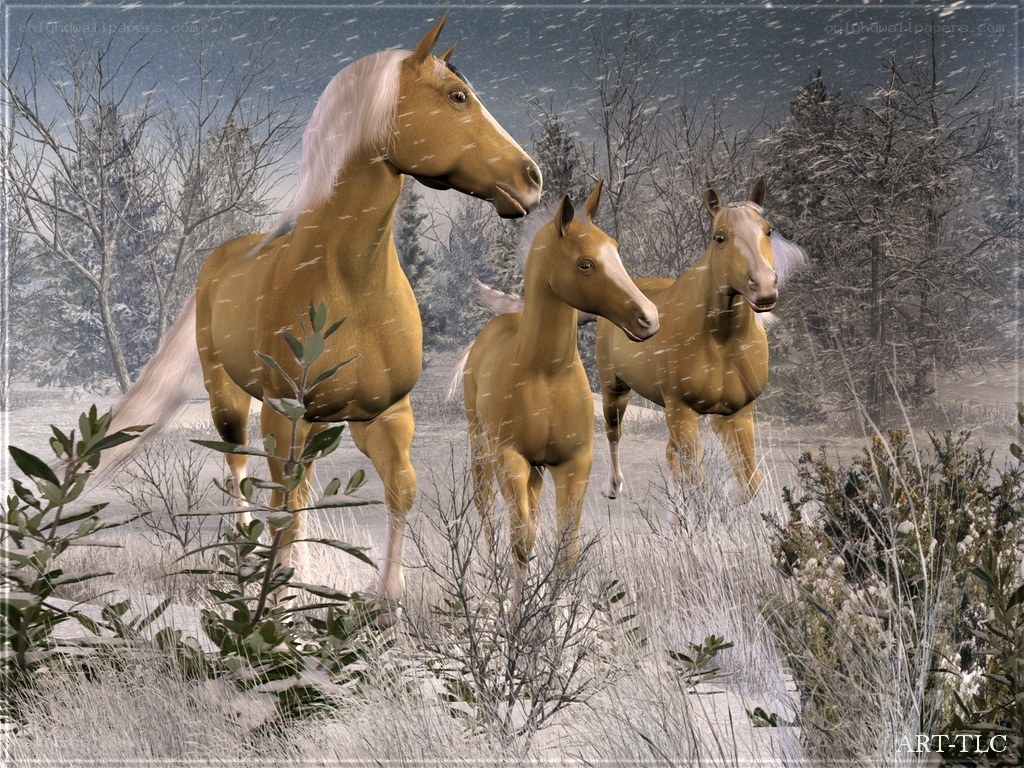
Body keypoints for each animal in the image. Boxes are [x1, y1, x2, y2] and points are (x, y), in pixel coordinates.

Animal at [102, 16, 543, 612]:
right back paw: (247, 564)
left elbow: (399, 490)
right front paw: (277, 610)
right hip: (230, 398)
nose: (532, 179)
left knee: (301, 486)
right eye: (458, 96)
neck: (349, 285)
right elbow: (282, 506)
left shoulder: (387, 414)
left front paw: (386, 598)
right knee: (239, 469)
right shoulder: (282, 415)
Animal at [451, 181, 659, 605]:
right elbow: (521, 539)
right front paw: (515, 614)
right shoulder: (510, 459)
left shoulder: (574, 463)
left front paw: (552, 612)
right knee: (488, 512)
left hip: (535, 470)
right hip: (482, 447)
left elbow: (567, 545)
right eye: (585, 264)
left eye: (615, 248)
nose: (649, 318)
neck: (545, 375)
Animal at [595, 177, 804, 504]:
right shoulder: (683, 411)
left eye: (768, 229)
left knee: (671, 457)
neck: (722, 340)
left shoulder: (737, 412)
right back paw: (613, 485)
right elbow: (698, 484)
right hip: (614, 388)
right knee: (614, 432)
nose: (764, 289)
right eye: (719, 237)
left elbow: (749, 482)